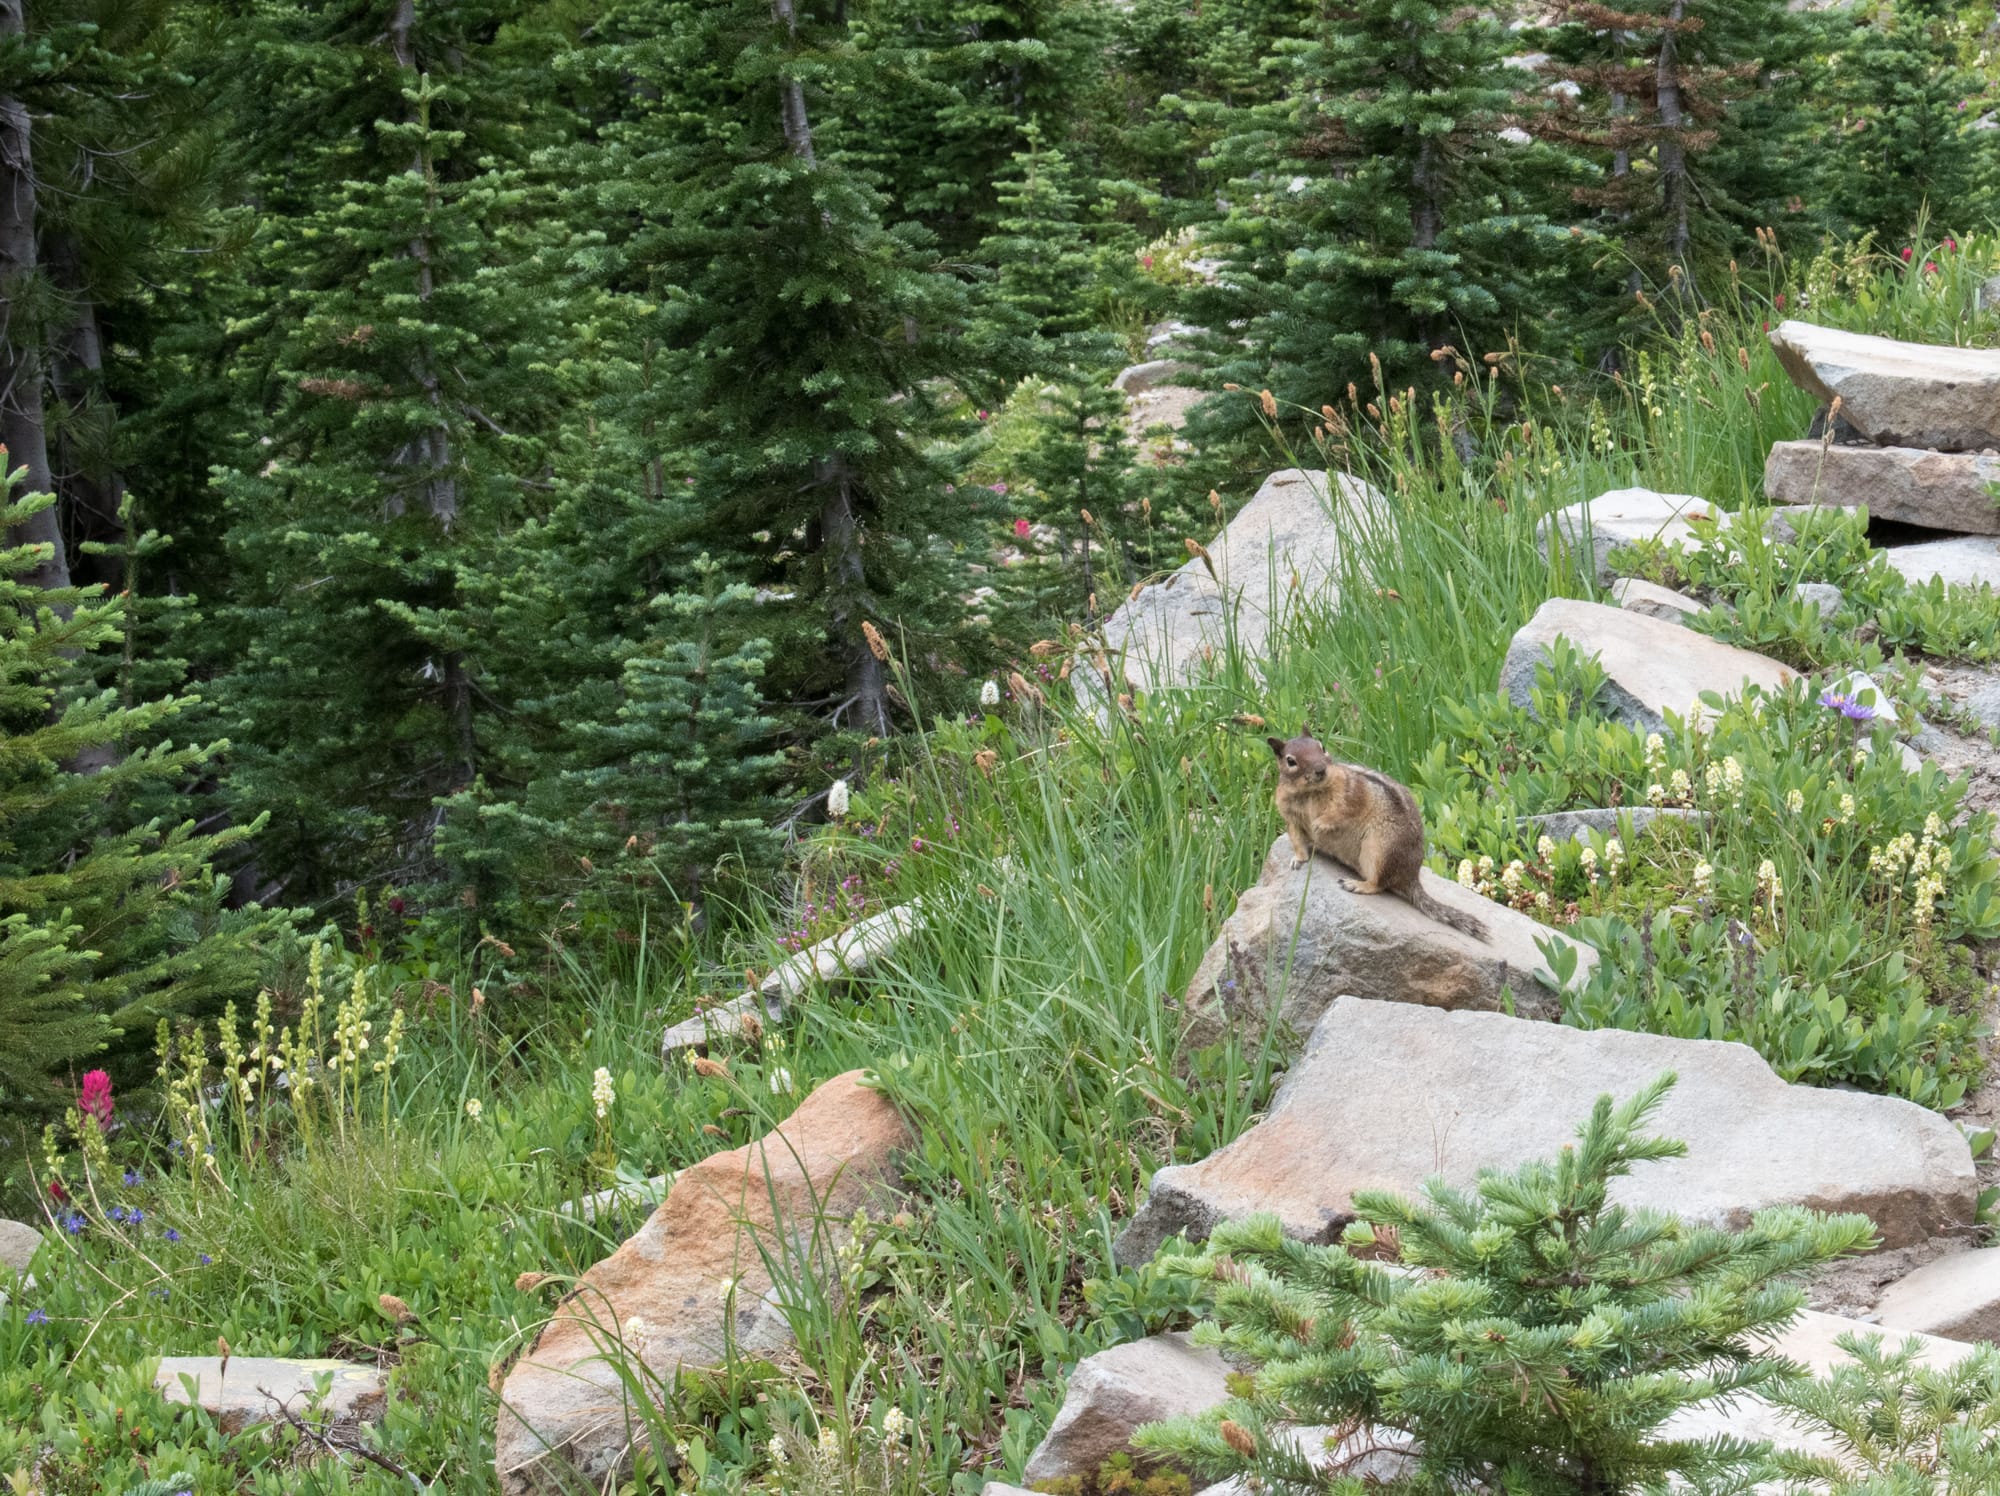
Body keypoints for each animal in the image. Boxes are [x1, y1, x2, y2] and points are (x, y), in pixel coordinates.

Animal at [1267, 732, 1490, 943]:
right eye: (1290, 760)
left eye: (1321, 746)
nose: (1321, 769)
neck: (1310, 792)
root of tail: (1411, 876)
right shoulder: (1290, 818)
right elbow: (1297, 840)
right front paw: (1298, 859)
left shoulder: (1352, 793)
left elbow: (1341, 813)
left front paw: (1320, 824)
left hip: (1380, 850)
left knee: (1379, 884)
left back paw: (1356, 884)